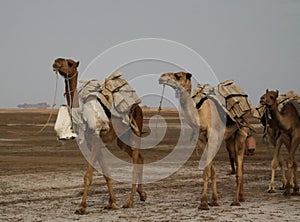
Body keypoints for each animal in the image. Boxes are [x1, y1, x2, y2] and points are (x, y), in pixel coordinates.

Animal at [52, 58, 146, 213]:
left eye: (70, 63)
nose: (56, 62)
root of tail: (138, 106)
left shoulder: (96, 140)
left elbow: (88, 176)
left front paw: (82, 207)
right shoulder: (94, 143)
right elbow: (105, 173)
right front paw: (112, 202)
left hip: (135, 131)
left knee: (135, 159)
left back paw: (130, 201)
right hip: (122, 138)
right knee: (140, 158)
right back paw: (142, 194)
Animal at [159, 72, 251, 210]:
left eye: (178, 76)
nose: (161, 77)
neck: (200, 115)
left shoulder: (213, 137)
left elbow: (208, 170)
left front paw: (204, 203)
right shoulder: (202, 140)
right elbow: (209, 171)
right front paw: (213, 200)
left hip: (241, 132)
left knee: (239, 168)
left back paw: (236, 201)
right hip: (230, 138)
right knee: (238, 162)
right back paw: (242, 196)